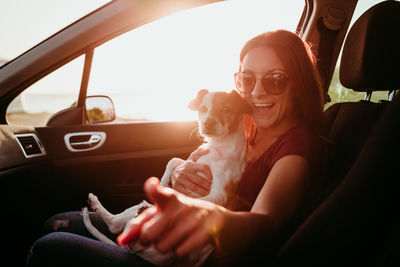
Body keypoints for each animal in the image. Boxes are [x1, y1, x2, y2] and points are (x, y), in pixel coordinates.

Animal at [82, 89, 252, 266]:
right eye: (203, 109)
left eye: (226, 109)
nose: (208, 123)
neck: (218, 147)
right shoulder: (191, 161)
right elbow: (173, 160)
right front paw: (163, 184)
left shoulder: (220, 194)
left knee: (115, 225)